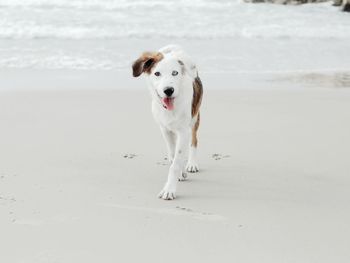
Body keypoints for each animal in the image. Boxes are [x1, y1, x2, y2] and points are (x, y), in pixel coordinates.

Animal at [131, 45, 202, 201]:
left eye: (175, 73)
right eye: (157, 73)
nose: (168, 90)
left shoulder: (183, 132)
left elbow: (175, 163)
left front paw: (169, 190)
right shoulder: (165, 129)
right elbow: (173, 156)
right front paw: (179, 172)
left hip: (195, 118)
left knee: (194, 140)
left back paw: (192, 164)